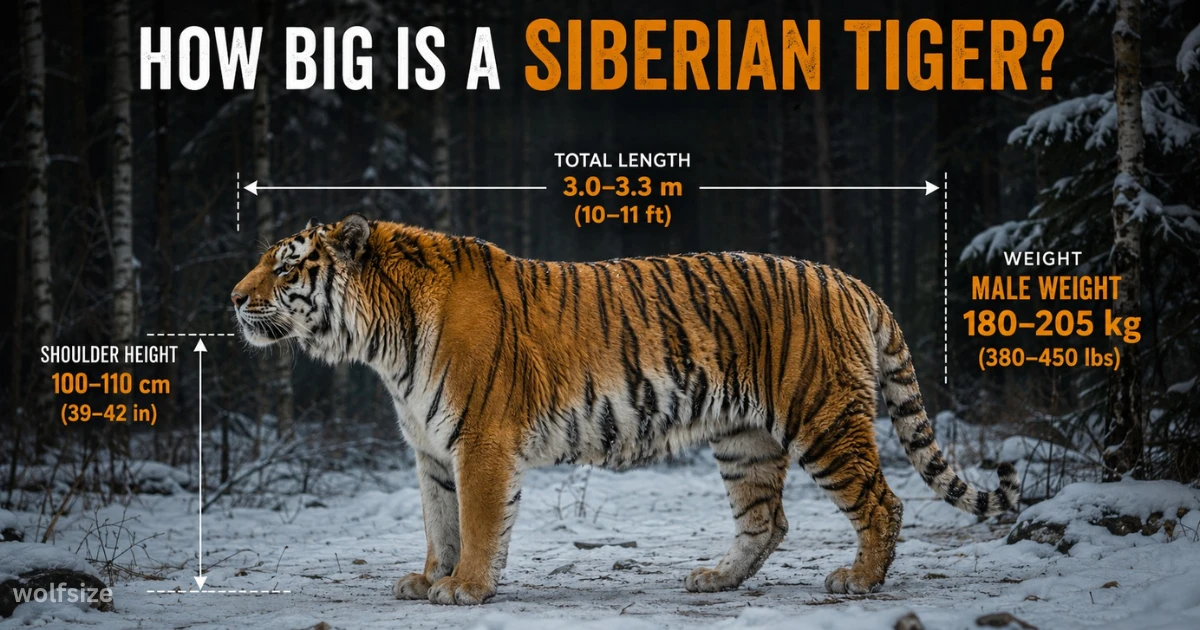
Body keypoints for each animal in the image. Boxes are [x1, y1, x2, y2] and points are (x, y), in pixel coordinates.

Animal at [231, 214, 1020, 606]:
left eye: (286, 263)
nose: (235, 298)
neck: (379, 340)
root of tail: (854, 282)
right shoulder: (430, 450)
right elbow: (440, 522)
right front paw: (429, 579)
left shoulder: (479, 441)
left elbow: (479, 524)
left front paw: (466, 590)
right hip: (744, 439)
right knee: (767, 520)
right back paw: (715, 580)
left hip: (823, 419)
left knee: (884, 502)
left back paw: (859, 582)